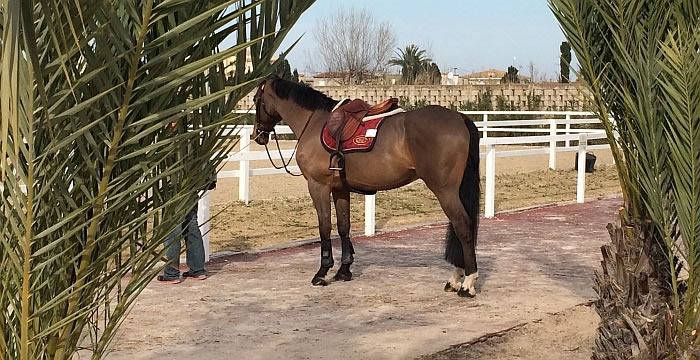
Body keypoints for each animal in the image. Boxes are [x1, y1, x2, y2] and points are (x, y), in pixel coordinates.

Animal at [256, 77, 482, 296]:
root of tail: (460, 118)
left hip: (445, 191)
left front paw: (322, 273)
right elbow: (343, 227)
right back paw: (455, 279)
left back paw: (467, 283)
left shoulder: (318, 186)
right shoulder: (340, 189)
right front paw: (344, 271)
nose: (258, 134)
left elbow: (325, 227)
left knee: (462, 226)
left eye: (257, 99)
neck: (315, 123)